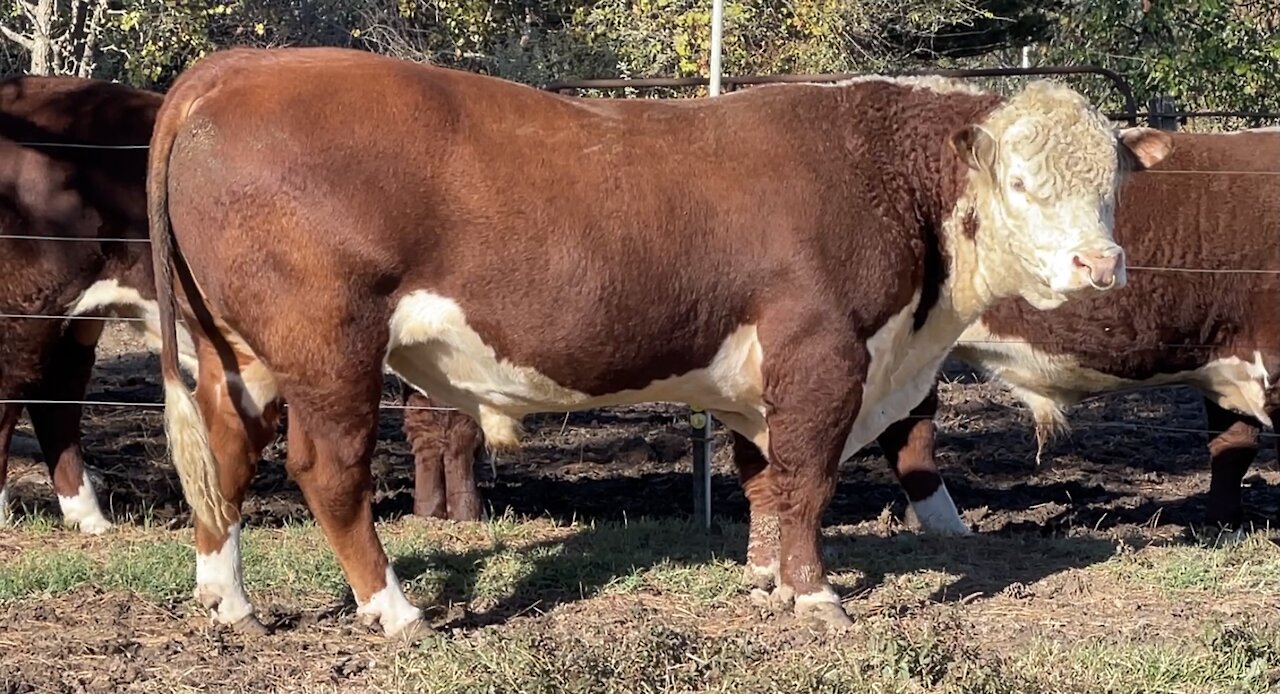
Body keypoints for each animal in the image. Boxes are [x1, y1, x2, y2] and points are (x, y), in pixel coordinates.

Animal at [147, 46, 1172, 640]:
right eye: (1022, 182)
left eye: (1113, 183)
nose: (1100, 262)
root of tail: (233, 69)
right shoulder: (823, 352)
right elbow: (808, 478)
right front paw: (815, 596)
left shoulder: (764, 373)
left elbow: (764, 478)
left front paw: (764, 583)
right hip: (330, 344)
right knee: (329, 470)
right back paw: (395, 611)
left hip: (237, 349)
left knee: (224, 451)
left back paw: (227, 598)